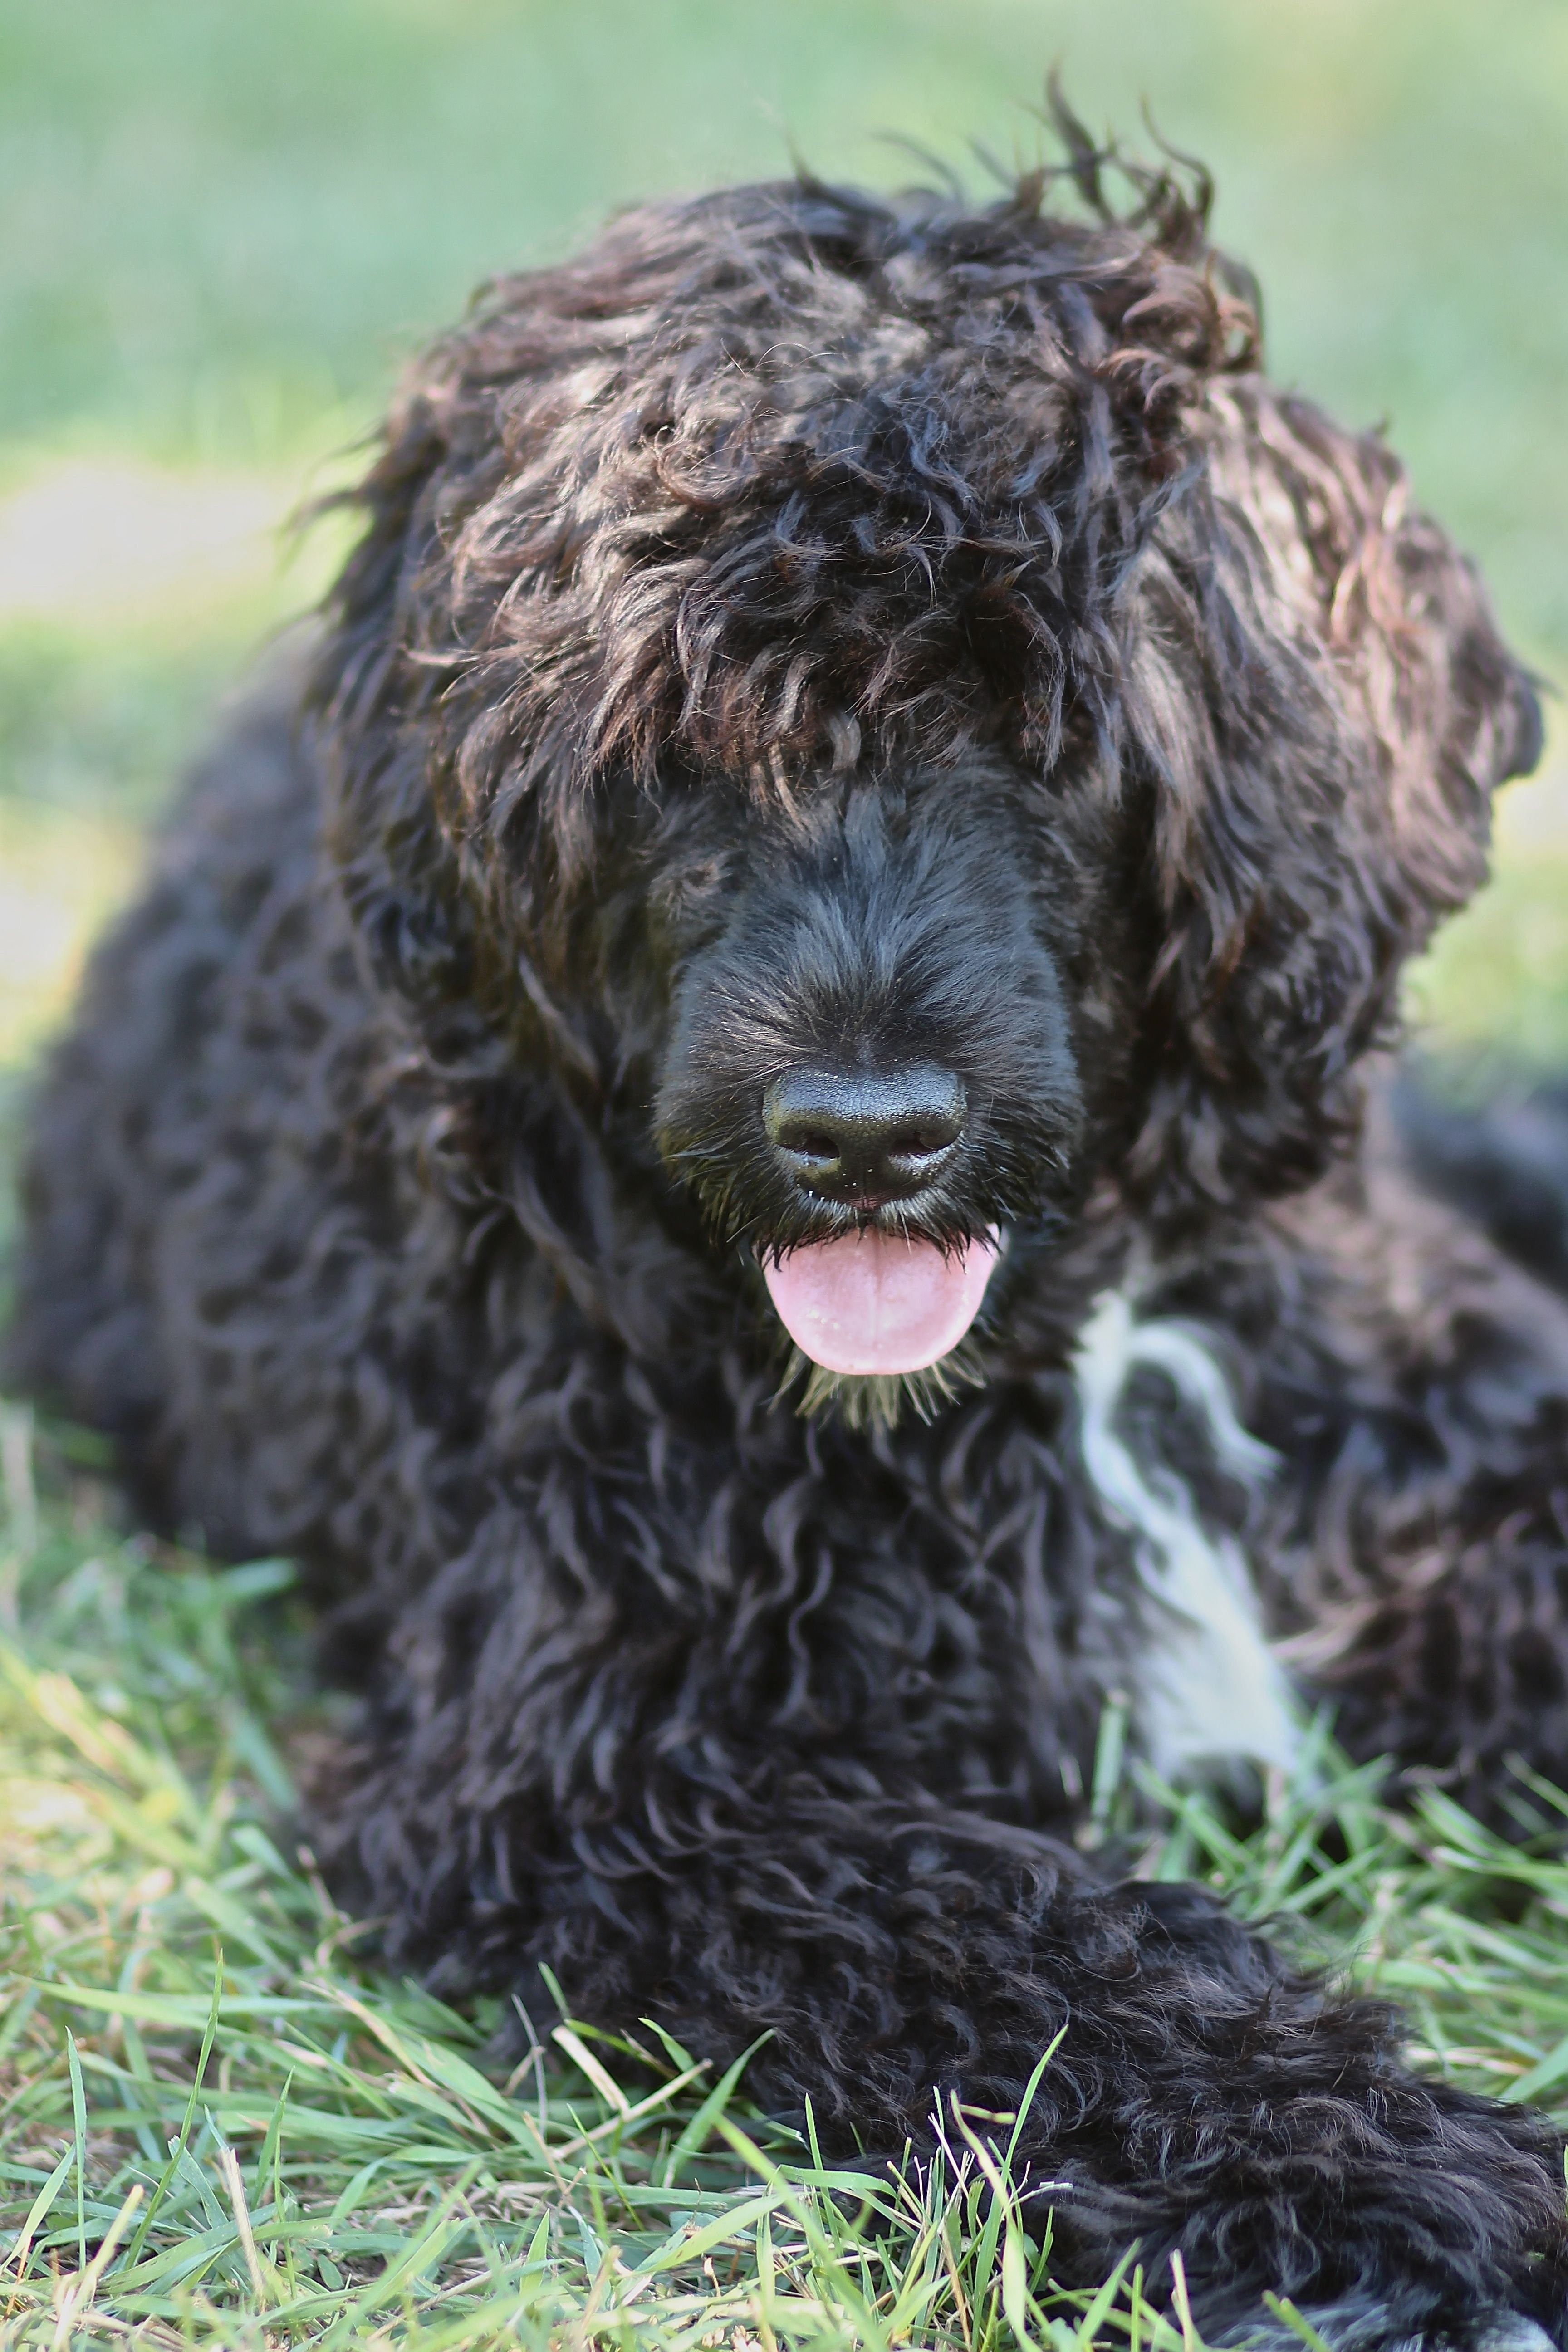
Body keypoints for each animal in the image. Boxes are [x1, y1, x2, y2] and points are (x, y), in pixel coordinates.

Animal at [9, 133, 1568, 2352]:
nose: (862, 1138)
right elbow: (1038, 1962)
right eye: (671, 737)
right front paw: (1381, 2192)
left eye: (1042, 720)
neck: (1066, 1365)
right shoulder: (620, 1781)